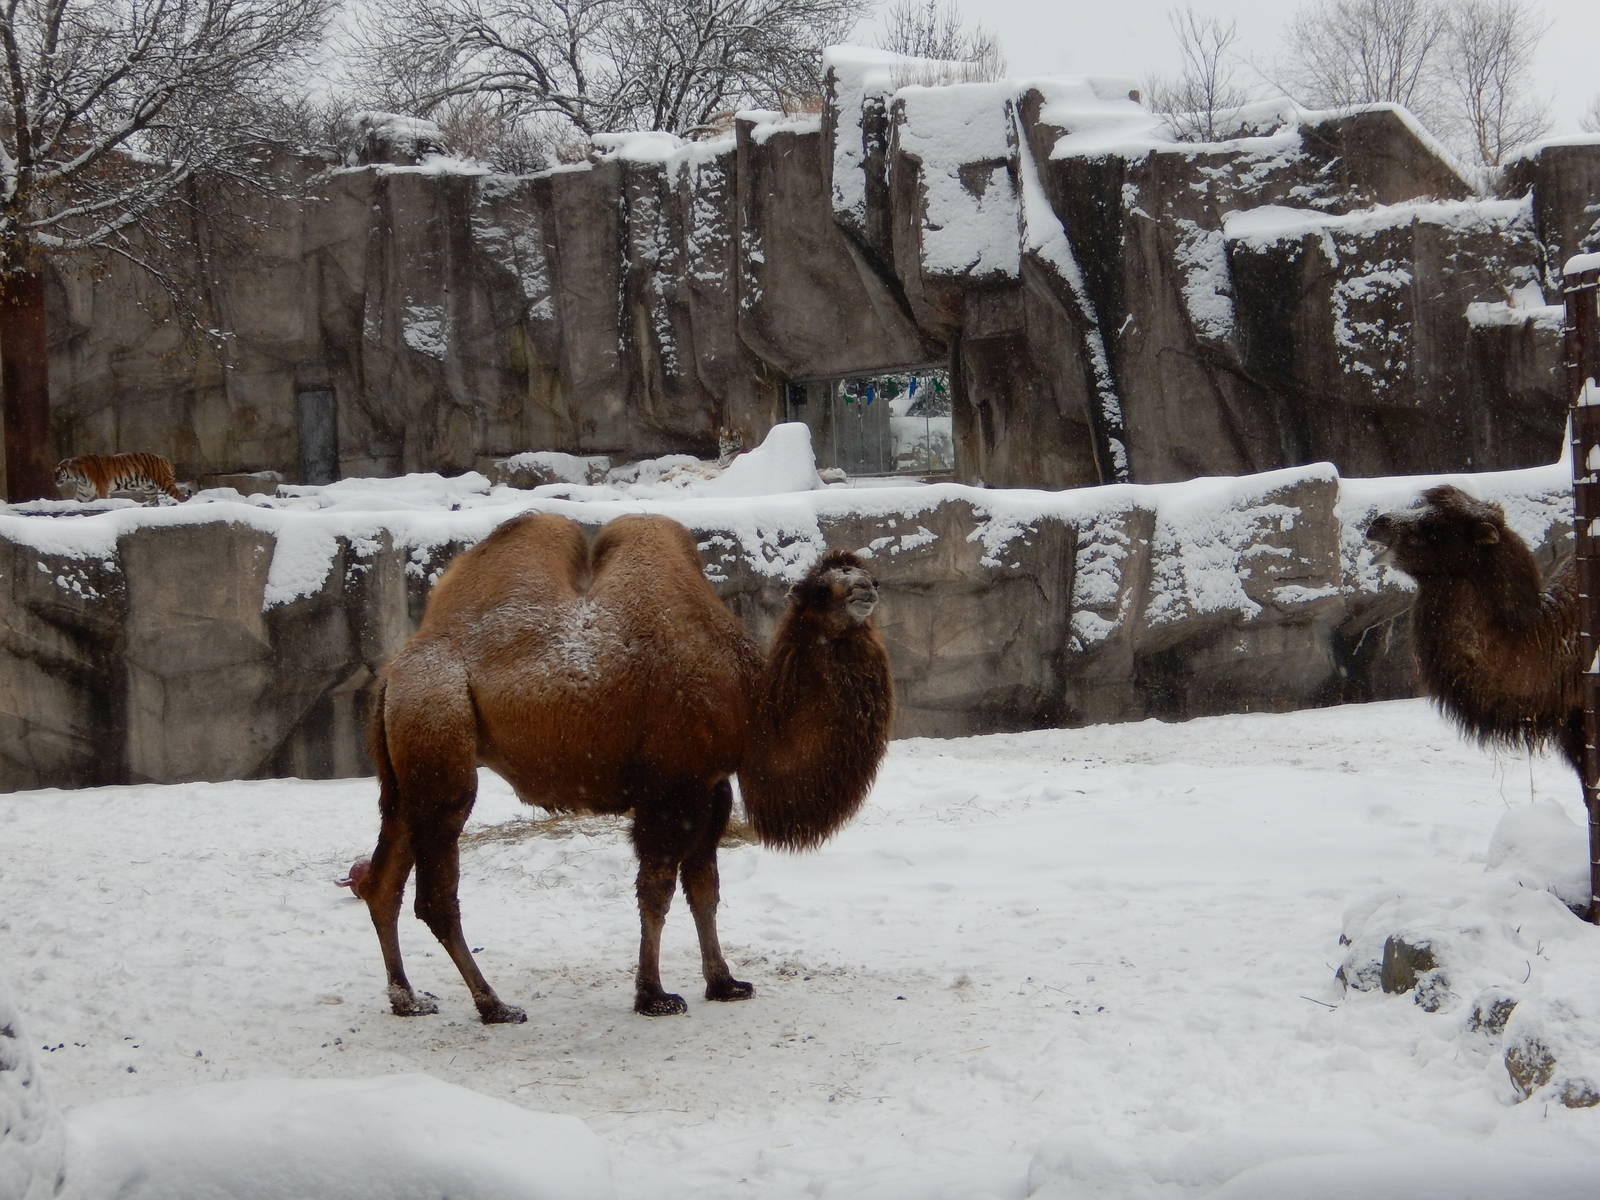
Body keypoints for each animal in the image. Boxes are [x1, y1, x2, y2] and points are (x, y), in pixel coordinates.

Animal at [53, 452, 185, 503]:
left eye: (57, 472)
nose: (54, 480)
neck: (77, 476)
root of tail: (163, 458)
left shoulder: (102, 489)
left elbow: (102, 499)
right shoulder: (84, 492)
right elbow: (77, 501)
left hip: (163, 481)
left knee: (180, 496)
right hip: (150, 488)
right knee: (155, 502)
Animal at [361, 511, 894, 1024]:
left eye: (865, 573)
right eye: (822, 590)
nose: (866, 590)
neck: (750, 708)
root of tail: (394, 671)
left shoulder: (711, 788)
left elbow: (705, 888)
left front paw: (725, 983)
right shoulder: (670, 790)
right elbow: (656, 891)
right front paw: (654, 995)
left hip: (408, 767)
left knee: (381, 880)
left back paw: (408, 999)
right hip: (440, 737)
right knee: (435, 895)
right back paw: (495, 1005)